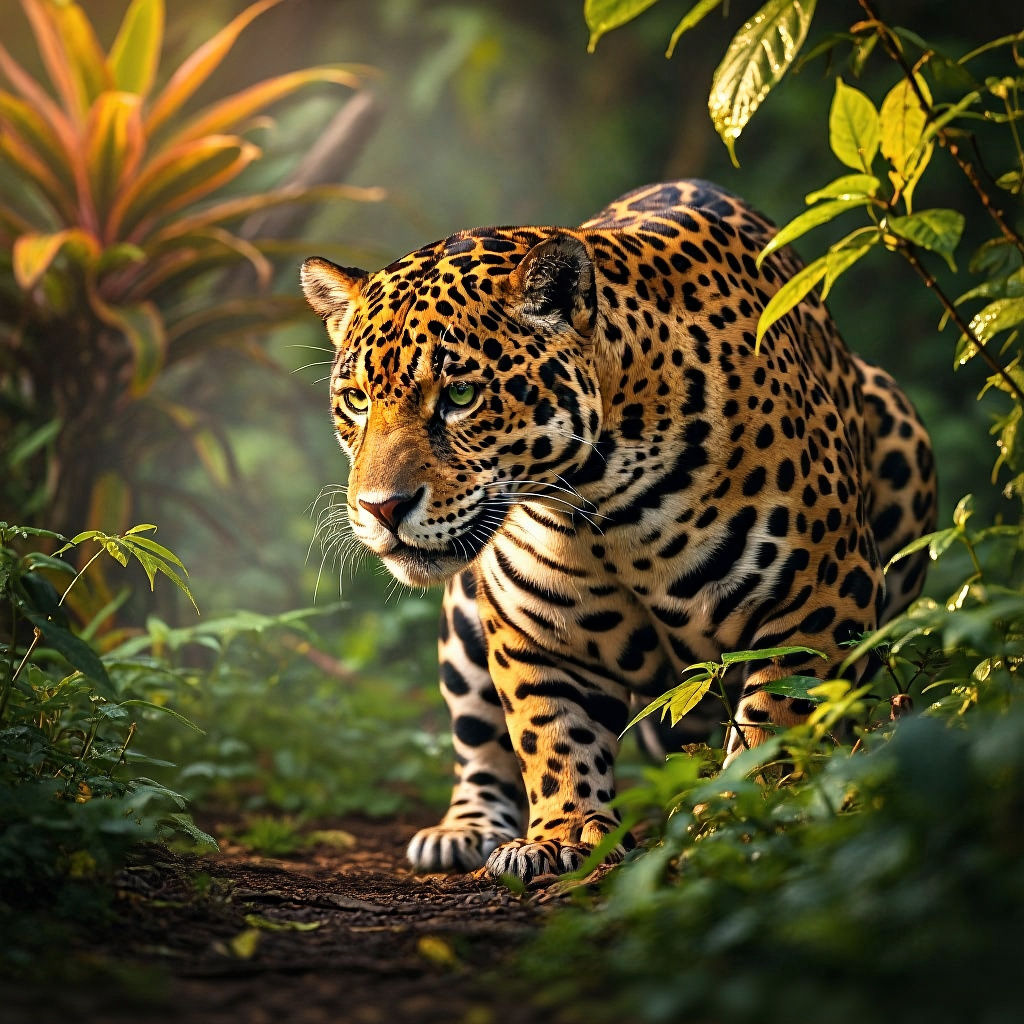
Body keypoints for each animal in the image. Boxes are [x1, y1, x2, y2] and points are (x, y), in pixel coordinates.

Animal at [301, 179, 936, 884]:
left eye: (461, 396)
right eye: (356, 400)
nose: (382, 508)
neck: (597, 507)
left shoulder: (815, 601)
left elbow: (775, 722)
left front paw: (748, 820)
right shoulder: (535, 634)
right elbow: (550, 735)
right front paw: (564, 833)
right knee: (480, 746)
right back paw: (460, 832)